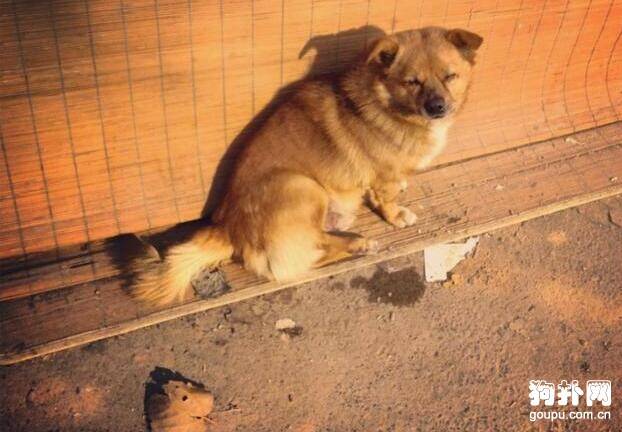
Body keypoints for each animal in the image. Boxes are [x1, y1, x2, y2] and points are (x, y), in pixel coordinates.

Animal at [133, 27, 482, 304]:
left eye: (450, 76)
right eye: (412, 82)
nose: (437, 107)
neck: (389, 103)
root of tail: (227, 228)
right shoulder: (383, 177)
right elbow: (387, 198)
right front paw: (397, 215)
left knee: (309, 257)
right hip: (303, 186)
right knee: (308, 251)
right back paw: (359, 243)